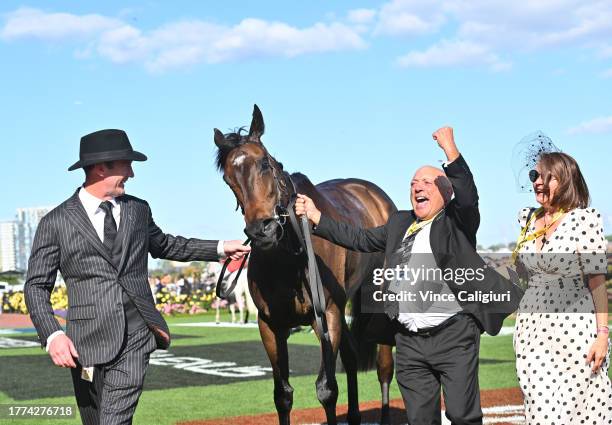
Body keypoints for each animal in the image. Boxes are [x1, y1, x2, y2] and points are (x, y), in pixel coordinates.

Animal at [214, 103, 396, 424]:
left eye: (264, 163)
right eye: (229, 179)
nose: (262, 230)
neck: (291, 259)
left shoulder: (328, 315)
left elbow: (327, 390)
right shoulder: (270, 324)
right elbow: (283, 394)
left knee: (384, 367)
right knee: (351, 356)